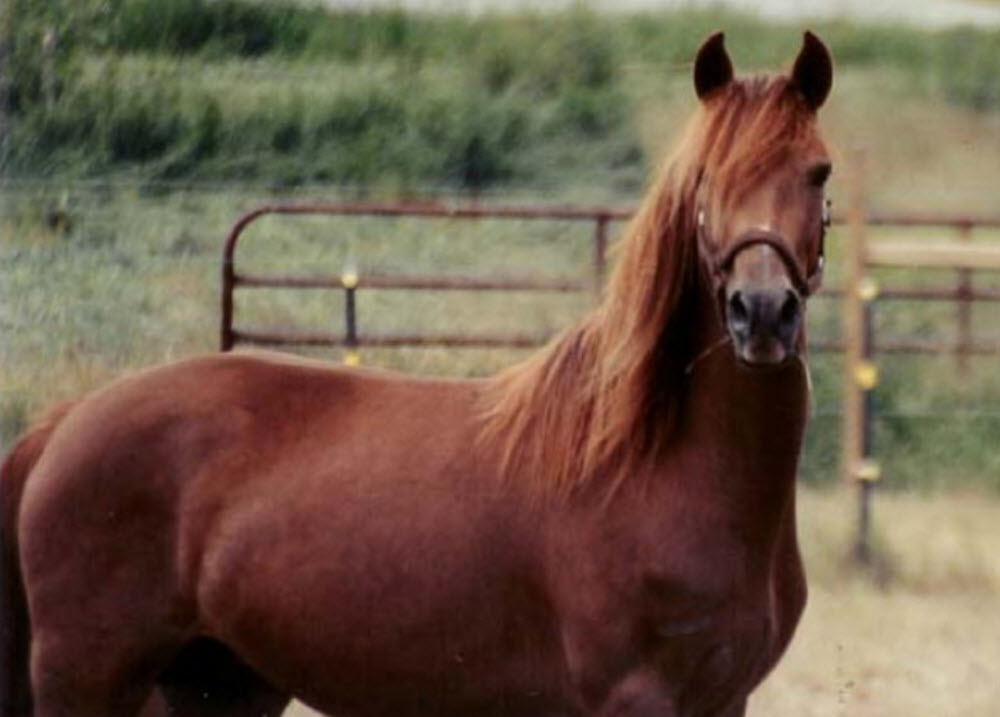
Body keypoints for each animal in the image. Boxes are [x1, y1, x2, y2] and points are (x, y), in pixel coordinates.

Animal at [1, 30, 836, 716]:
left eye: (819, 173)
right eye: (706, 177)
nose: (762, 312)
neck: (656, 459)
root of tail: (64, 423)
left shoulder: (723, 700)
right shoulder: (632, 696)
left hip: (216, 686)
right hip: (89, 678)